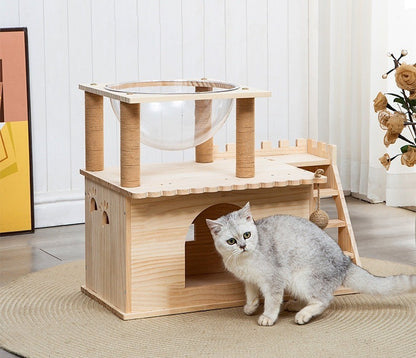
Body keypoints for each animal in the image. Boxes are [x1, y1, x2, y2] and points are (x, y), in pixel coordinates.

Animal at [206, 203, 416, 326]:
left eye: (247, 235)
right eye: (231, 241)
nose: (242, 246)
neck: (244, 260)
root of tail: (345, 261)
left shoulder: (274, 280)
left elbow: (273, 300)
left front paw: (268, 316)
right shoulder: (249, 280)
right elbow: (251, 294)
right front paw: (251, 306)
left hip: (302, 278)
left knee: (323, 300)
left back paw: (303, 314)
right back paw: (295, 306)